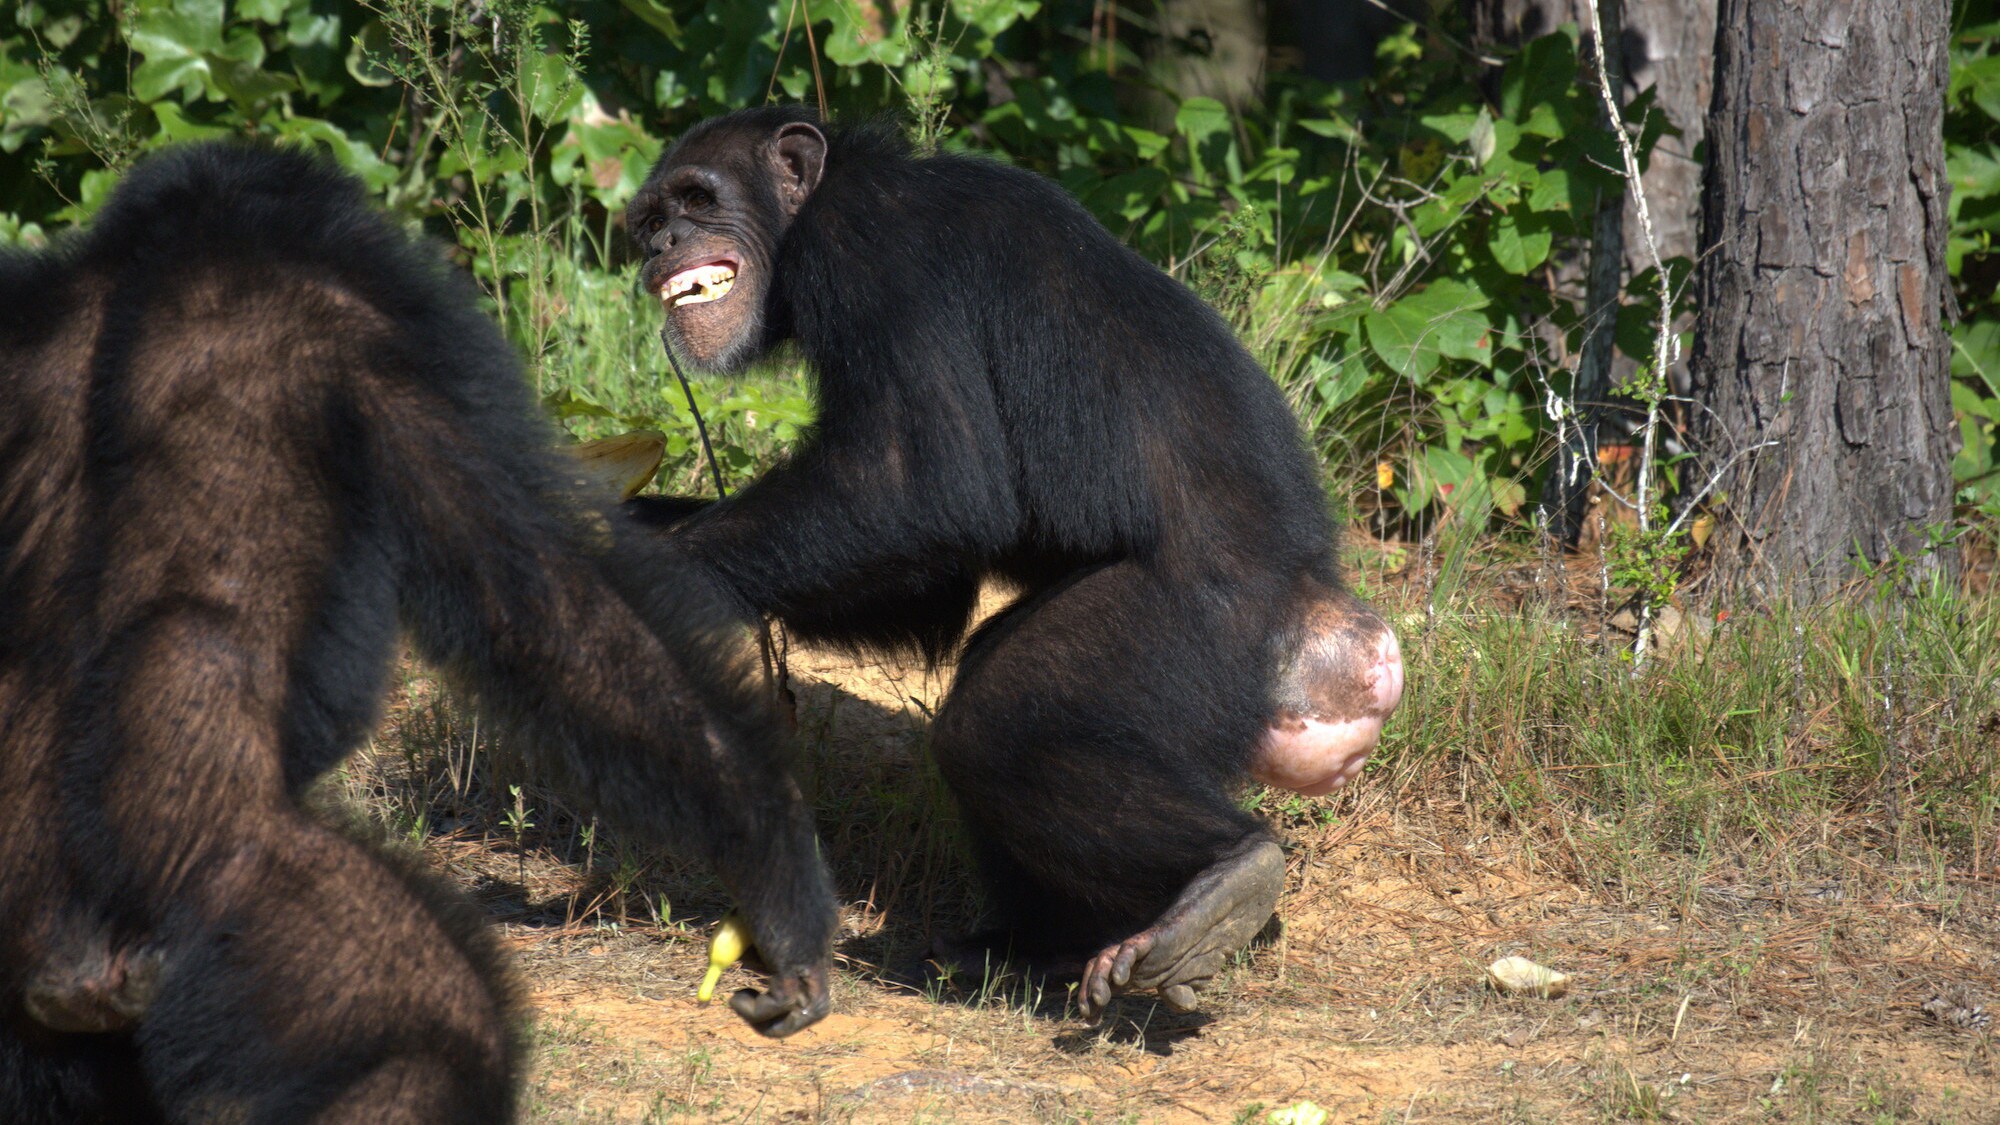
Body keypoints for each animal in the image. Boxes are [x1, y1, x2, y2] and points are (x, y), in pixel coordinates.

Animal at [0, 144, 836, 1120]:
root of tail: (67, 959)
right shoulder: (369, 340)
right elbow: (546, 608)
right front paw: (784, 871)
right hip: (224, 892)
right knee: (434, 1034)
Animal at [624, 107, 1408, 1016]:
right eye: (651, 218)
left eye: (698, 198)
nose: (665, 241)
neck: (806, 215)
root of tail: (1326, 612)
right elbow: (930, 587)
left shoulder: (870, 253)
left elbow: (923, 482)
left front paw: (640, 558)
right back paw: (1039, 942)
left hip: (1188, 629)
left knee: (994, 724)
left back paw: (1225, 877)